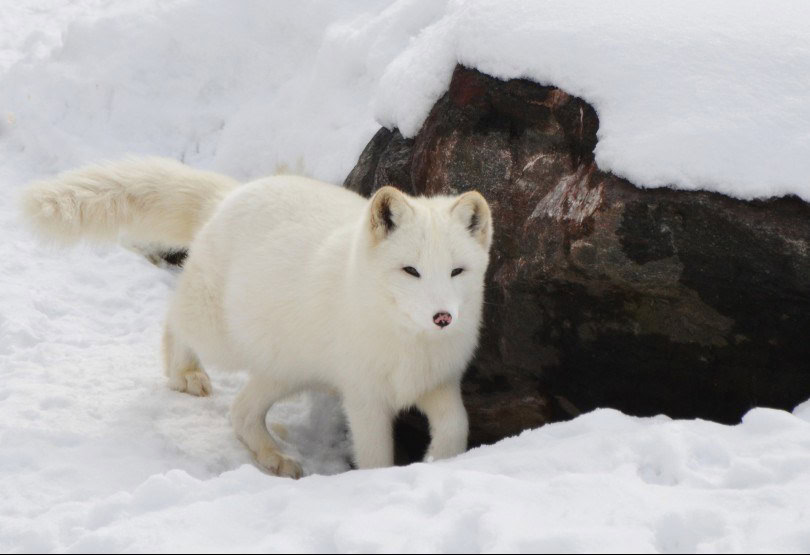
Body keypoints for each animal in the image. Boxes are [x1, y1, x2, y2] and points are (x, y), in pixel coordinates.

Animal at [21, 157, 493, 478]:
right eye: (410, 270)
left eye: (457, 271)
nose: (443, 317)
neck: (408, 343)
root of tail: (229, 197)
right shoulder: (364, 397)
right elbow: (375, 457)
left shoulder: (438, 383)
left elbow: (457, 426)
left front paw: (442, 462)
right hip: (223, 339)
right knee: (174, 320)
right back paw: (185, 373)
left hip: (286, 369)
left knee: (241, 413)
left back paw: (274, 456)